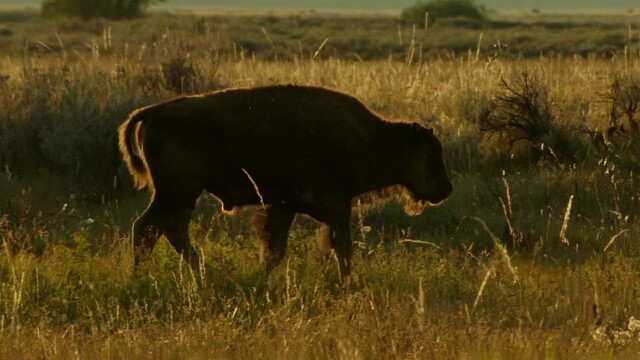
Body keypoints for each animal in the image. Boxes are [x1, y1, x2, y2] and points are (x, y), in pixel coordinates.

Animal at [119, 85, 450, 278]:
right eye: (431, 153)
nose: (446, 189)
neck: (372, 138)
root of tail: (153, 111)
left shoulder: (285, 206)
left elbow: (275, 249)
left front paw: (260, 278)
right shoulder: (336, 205)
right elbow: (342, 247)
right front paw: (349, 284)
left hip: (181, 194)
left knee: (166, 230)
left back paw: (200, 272)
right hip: (177, 192)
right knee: (148, 229)